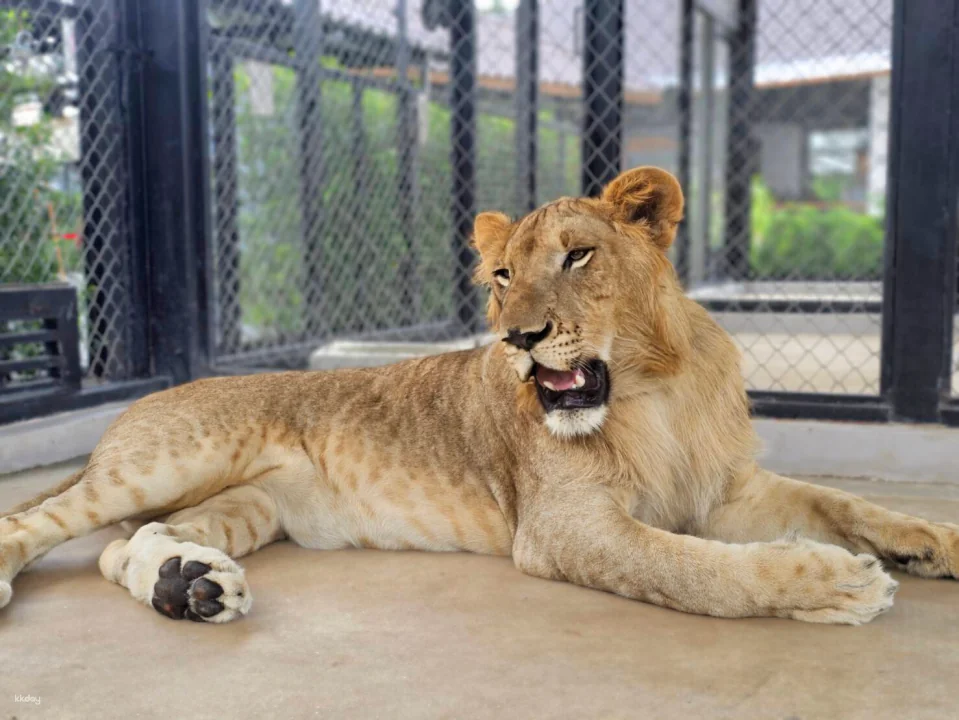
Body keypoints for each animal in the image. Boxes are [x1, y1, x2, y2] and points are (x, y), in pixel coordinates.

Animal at [1, 166, 957, 625]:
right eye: (501, 275)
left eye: (577, 255)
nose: (518, 339)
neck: (655, 390)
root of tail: (135, 407)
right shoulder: (563, 528)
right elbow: (693, 571)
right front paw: (834, 585)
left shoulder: (725, 491)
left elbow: (838, 503)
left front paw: (931, 542)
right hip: (171, 460)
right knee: (42, 524)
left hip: (249, 504)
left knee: (123, 546)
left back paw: (188, 586)